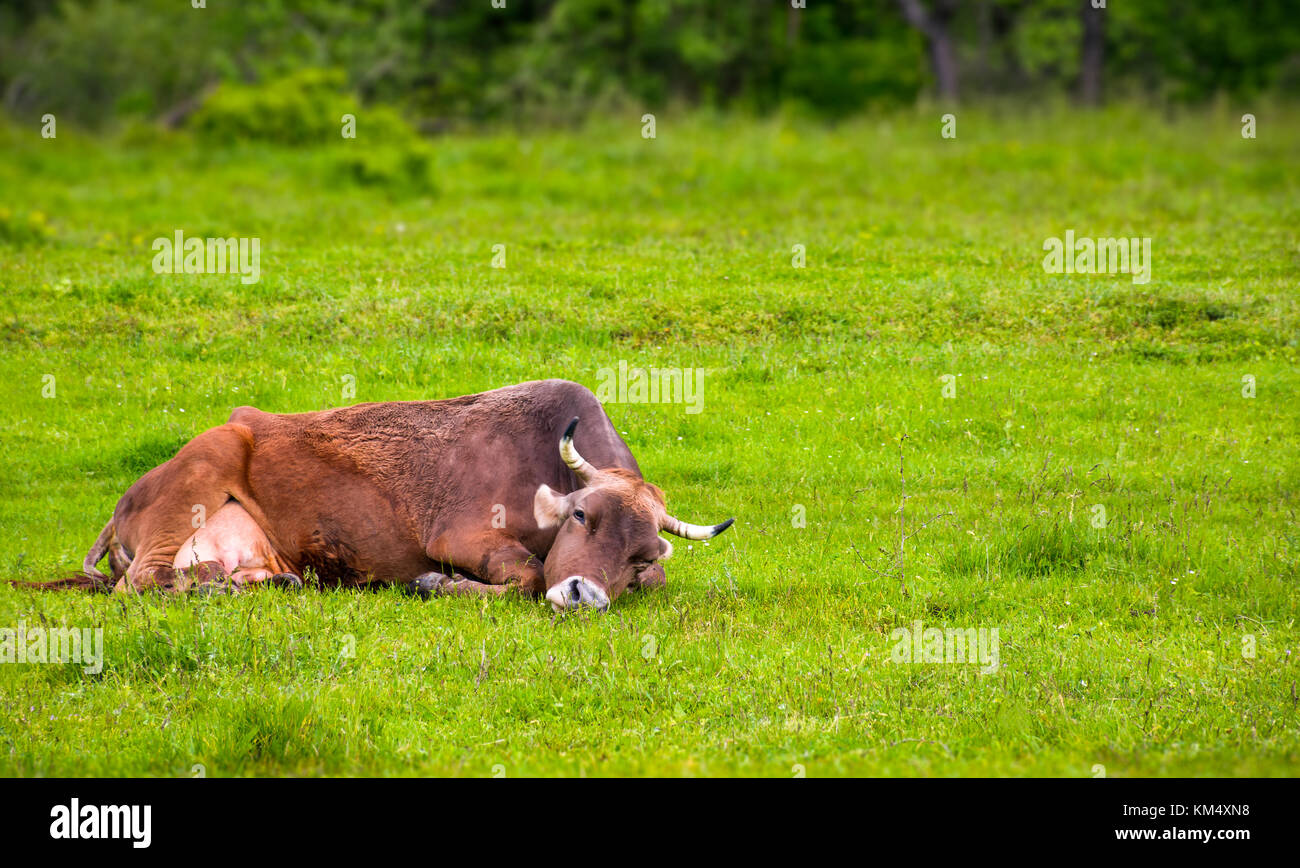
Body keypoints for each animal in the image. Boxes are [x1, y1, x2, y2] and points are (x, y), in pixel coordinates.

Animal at [42, 380, 734, 612]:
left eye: (641, 555)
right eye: (583, 515)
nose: (585, 594)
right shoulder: (462, 534)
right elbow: (529, 575)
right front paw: (433, 583)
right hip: (206, 464)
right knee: (145, 583)